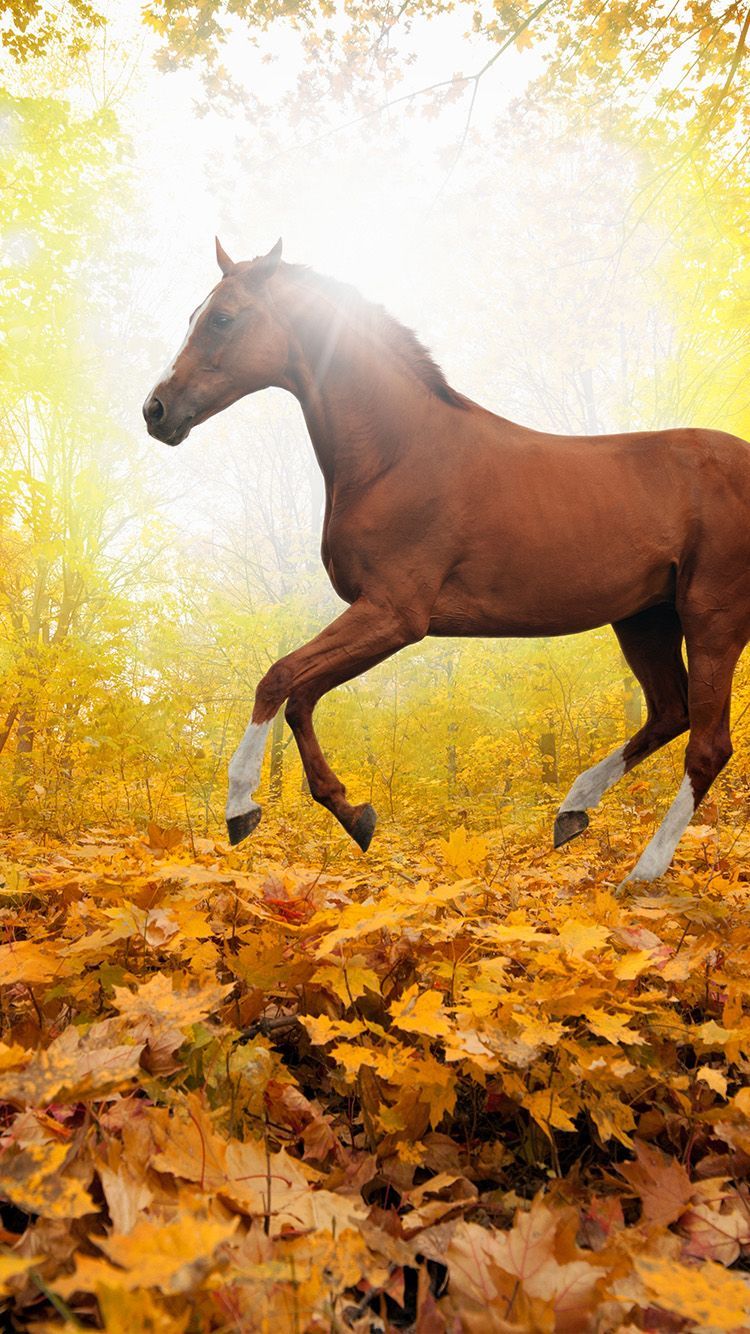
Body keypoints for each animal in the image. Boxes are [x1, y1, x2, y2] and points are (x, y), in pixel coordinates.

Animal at [143, 238, 750, 882]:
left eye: (222, 318)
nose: (155, 411)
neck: (397, 452)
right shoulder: (381, 618)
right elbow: (302, 697)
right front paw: (352, 813)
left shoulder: (394, 615)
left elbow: (279, 678)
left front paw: (240, 807)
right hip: (644, 620)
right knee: (669, 712)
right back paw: (573, 810)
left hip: (713, 620)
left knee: (708, 744)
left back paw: (644, 872)